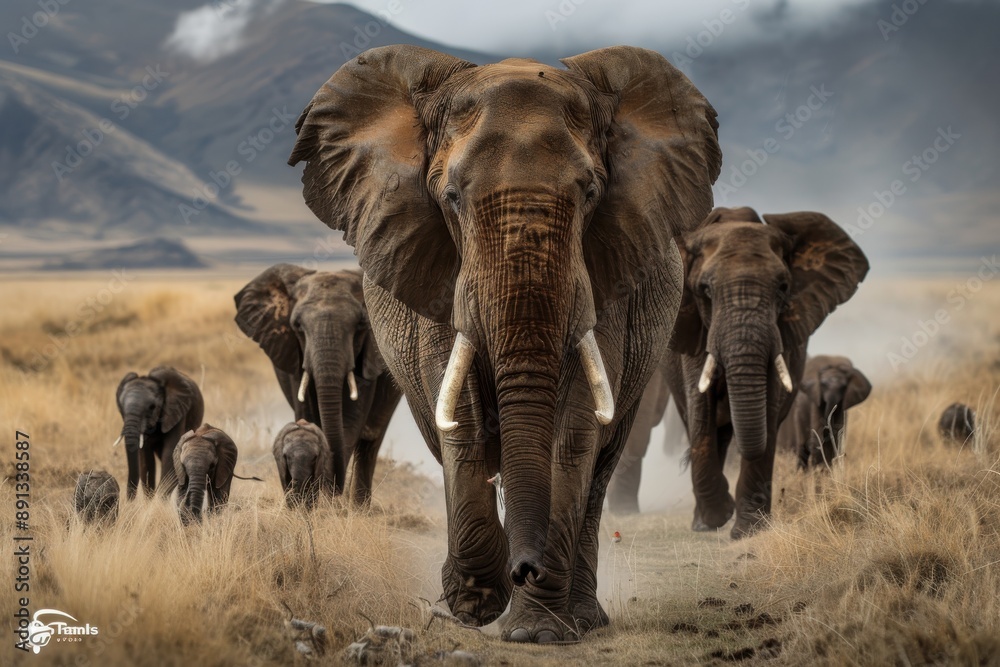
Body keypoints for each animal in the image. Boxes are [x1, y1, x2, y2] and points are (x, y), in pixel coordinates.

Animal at [114, 366, 204, 499]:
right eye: (121, 408)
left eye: (152, 407)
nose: (129, 501)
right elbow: (145, 460)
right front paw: (150, 501)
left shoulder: (176, 411)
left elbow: (170, 453)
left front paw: (159, 501)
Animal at [235, 265, 402, 504]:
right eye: (297, 326)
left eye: (361, 324)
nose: (335, 488)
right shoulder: (295, 354)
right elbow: (308, 412)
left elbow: (350, 419)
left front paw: (326, 501)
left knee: (370, 441)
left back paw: (359, 508)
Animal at [665, 206, 869, 539]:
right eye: (704, 291)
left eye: (783, 288)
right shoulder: (696, 329)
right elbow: (700, 411)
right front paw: (719, 515)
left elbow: (769, 407)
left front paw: (749, 530)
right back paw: (703, 523)